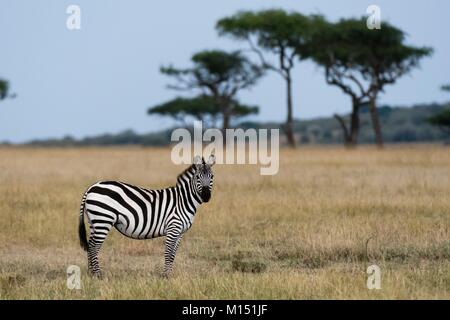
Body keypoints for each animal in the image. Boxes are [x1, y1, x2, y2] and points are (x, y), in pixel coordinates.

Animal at [78, 154, 215, 278]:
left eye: (212, 176)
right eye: (197, 177)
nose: (206, 196)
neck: (183, 200)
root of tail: (92, 187)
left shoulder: (180, 232)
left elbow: (173, 254)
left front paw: (169, 274)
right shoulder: (173, 227)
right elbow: (168, 253)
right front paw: (165, 276)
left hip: (94, 221)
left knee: (90, 245)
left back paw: (91, 274)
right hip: (103, 220)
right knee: (94, 247)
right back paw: (98, 275)